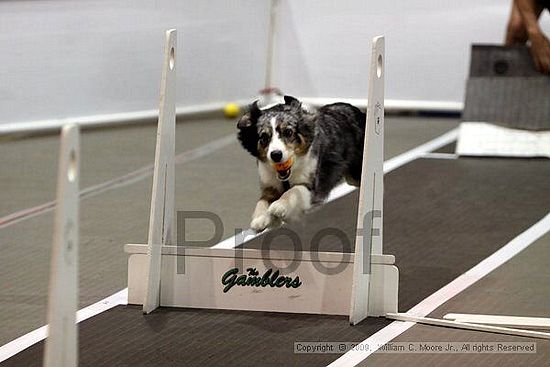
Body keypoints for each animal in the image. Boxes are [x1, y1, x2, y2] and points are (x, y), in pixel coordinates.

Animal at [237, 95, 366, 233]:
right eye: (264, 137)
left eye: (288, 132)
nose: (276, 155)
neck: (287, 174)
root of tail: (356, 110)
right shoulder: (269, 186)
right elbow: (262, 201)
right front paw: (259, 218)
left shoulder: (312, 187)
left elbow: (294, 190)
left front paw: (279, 206)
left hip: (356, 173)